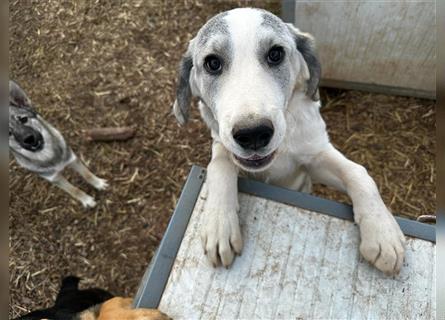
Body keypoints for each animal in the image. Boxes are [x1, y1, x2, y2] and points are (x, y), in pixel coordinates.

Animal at [9, 80, 108, 208]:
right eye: (8, 132)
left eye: (23, 119)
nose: (29, 139)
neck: (49, 155)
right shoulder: (55, 178)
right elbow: (73, 190)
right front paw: (86, 200)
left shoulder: (72, 159)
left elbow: (87, 174)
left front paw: (98, 183)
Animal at [173, 9, 406, 276]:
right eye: (213, 63)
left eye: (275, 54)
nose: (253, 134)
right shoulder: (222, 144)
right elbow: (219, 165)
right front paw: (219, 223)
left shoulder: (314, 158)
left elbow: (358, 172)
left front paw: (383, 233)